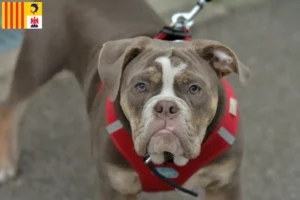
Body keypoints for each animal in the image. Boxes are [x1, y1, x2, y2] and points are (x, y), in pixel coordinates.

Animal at [0, 0, 250, 198]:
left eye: (194, 88)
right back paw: (6, 164)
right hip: (39, 62)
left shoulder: (224, 184)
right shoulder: (116, 187)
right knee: (11, 107)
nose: (166, 106)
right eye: (141, 86)